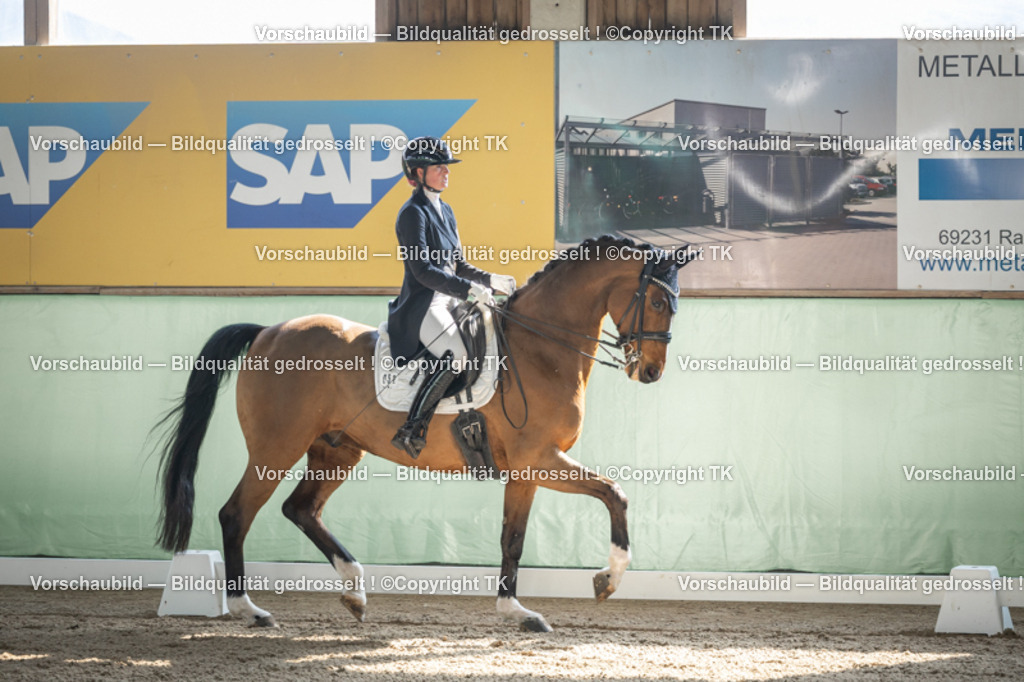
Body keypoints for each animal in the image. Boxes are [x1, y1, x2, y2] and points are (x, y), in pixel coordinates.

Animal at [156, 235, 695, 632]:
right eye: (657, 300)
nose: (650, 371)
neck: (541, 349)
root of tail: (267, 331)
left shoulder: (525, 470)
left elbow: (513, 538)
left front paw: (515, 612)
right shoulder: (540, 459)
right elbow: (615, 493)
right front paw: (608, 579)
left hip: (335, 451)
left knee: (300, 509)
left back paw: (354, 590)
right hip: (276, 448)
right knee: (236, 515)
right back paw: (249, 610)